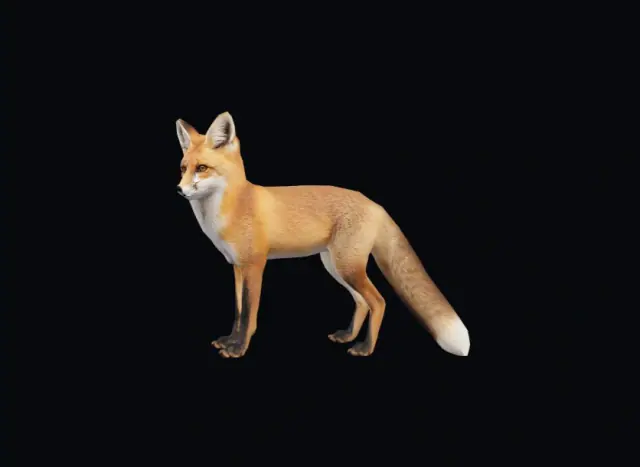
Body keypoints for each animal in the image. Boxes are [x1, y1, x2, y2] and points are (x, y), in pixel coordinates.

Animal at [176, 111, 470, 358]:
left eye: (202, 168)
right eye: (183, 168)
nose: (179, 189)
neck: (231, 209)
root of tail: (374, 204)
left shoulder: (255, 266)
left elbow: (249, 314)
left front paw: (238, 349)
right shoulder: (237, 267)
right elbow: (238, 312)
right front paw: (230, 341)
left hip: (348, 267)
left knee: (379, 302)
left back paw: (364, 348)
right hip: (335, 266)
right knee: (362, 302)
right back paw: (348, 336)